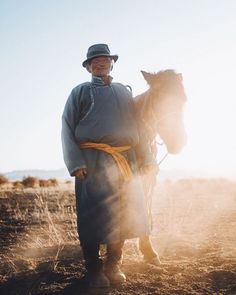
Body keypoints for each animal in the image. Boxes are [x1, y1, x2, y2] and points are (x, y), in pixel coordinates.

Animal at [134, 70, 187, 266]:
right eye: (157, 97)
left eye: (183, 99)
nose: (178, 141)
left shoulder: (148, 177)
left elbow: (145, 205)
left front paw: (148, 250)